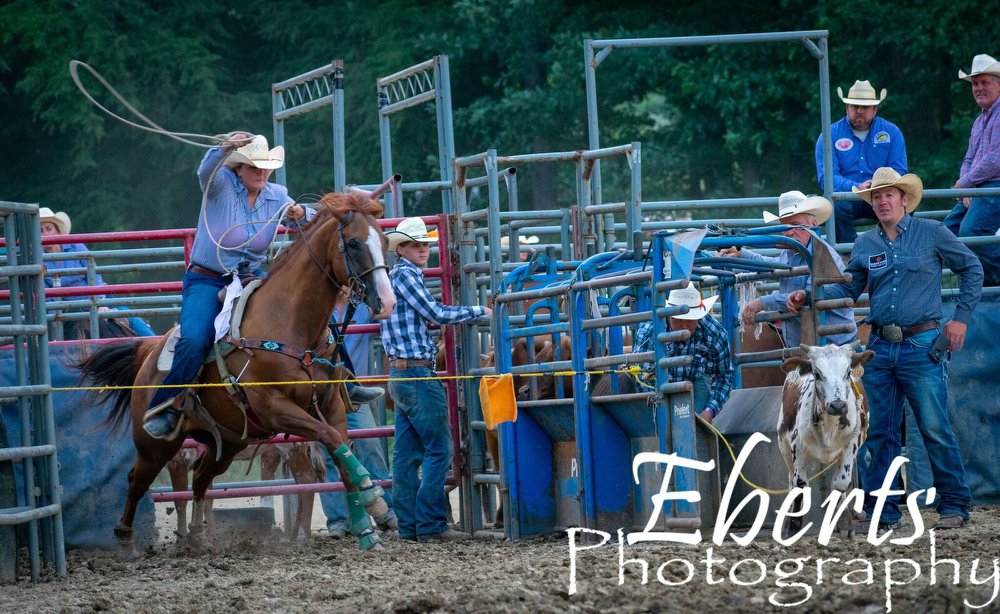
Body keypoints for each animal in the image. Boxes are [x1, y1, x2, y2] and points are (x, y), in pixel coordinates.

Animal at [76, 191, 396, 552]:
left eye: (385, 240)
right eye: (353, 243)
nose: (387, 302)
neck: (289, 324)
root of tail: (148, 351)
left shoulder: (331, 406)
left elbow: (340, 451)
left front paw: (369, 526)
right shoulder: (276, 409)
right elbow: (332, 441)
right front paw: (374, 497)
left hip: (226, 444)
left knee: (201, 479)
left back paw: (197, 536)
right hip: (155, 447)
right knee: (136, 480)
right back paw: (127, 539)